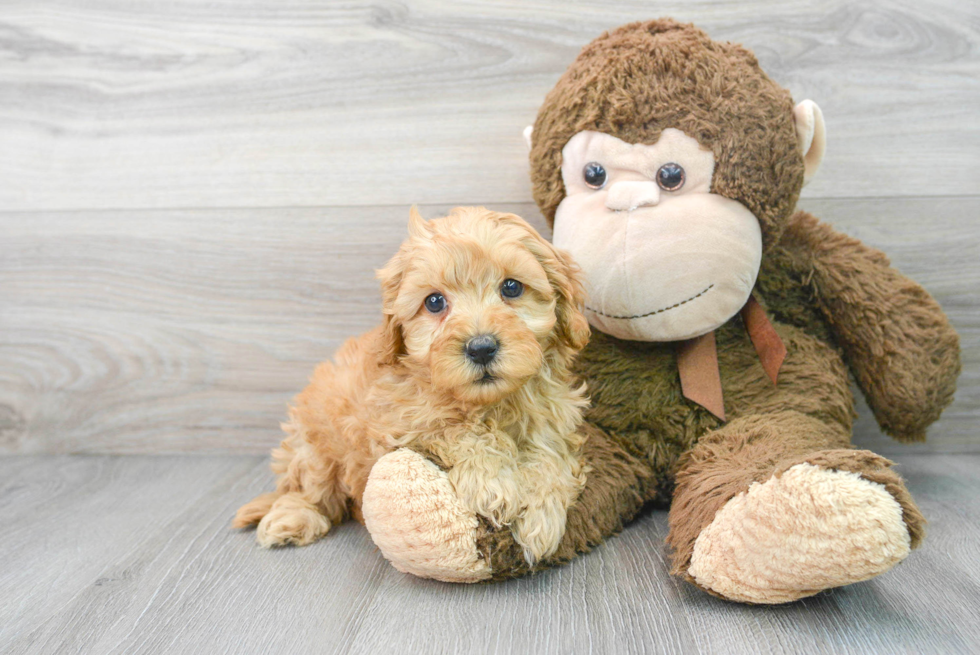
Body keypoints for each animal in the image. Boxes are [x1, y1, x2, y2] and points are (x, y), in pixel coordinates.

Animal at [234, 206, 592, 564]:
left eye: (512, 288)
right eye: (434, 302)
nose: (481, 348)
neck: (488, 403)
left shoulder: (552, 420)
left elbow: (549, 457)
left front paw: (540, 515)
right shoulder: (399, 425)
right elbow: (458, 429)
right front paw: (492, 483)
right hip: (315, 443)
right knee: (308, 489)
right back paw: (292, 518)